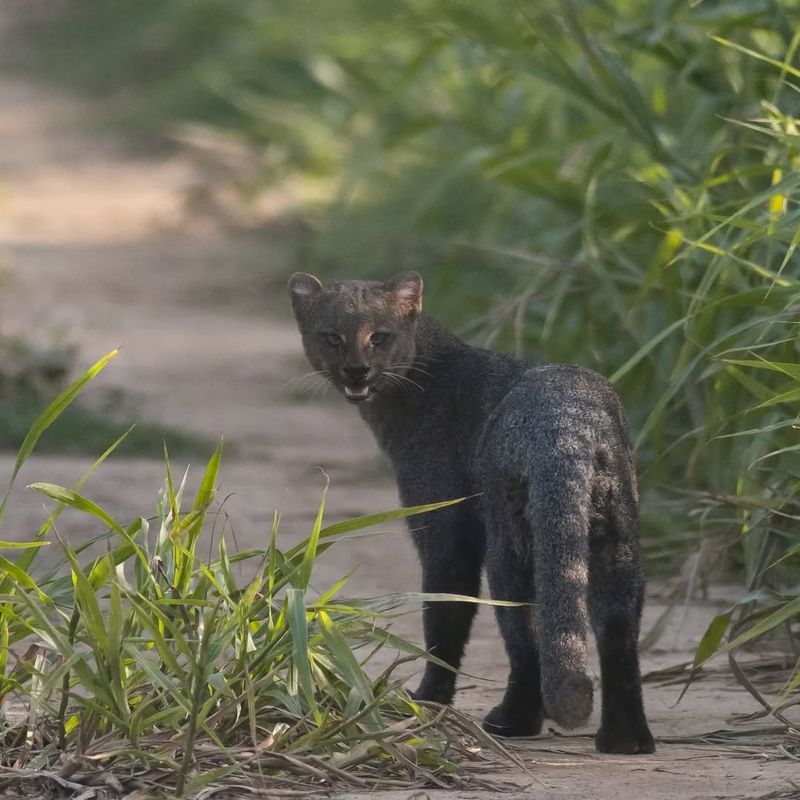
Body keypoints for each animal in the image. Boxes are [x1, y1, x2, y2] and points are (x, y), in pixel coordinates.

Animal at [288, 272, 656, 752]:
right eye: (332, 337)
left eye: (379, 336)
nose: (356, 370)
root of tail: (566, 421)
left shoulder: (442, 523)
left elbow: (444, 615)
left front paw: (427, 701)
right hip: (617, 540)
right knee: (618, 635)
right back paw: (626, 739)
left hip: (508, 544)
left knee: (525, 637)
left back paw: (511, 721)